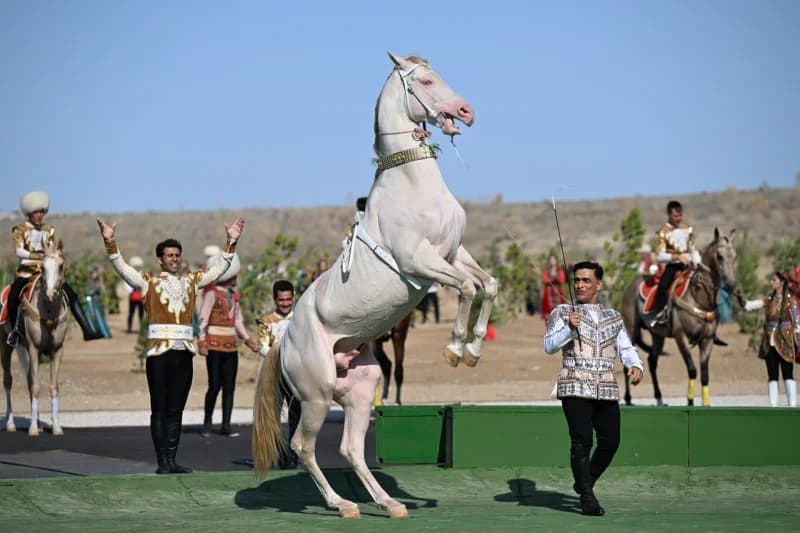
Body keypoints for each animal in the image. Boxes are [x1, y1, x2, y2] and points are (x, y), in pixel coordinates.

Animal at [1, 240, 69, 436]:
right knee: (8, 380)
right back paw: (11, 424)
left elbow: (53, 387)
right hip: (6, 345)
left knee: (29, 379)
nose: (50, 294)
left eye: (61, 266)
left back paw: (38, 423)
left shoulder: (57, 350)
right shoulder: (33, 348)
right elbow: (36, 387)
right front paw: (31, 429)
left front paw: (56, 427)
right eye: (43, 267)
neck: (49, 312)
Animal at [252, 52, 496, 519]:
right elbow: (468, 290)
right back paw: (342, 504)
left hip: (360, 389)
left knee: (350, 449)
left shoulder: (453, 254)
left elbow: (487, 286)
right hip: (316, 396)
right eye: (425, 81)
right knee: (304, 446)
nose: (466, 112)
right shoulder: (421, 262)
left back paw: (389, 504)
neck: (412, 185)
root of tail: (283, 340)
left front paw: (474, 352)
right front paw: (454, 349)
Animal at [622, 228, 738, 406]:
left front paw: (705, 404)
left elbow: (705, 374)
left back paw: (659, 398)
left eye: (735, 255)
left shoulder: (707, 340)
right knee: (627, 364)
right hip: (631, 331)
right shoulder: (680, 336)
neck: (698, 298)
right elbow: (692, 369)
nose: (731, 285)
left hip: (657, 336)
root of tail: (629, 287)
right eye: (719, 256)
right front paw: (690, 402)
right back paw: (628, 399)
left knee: (652, 361)